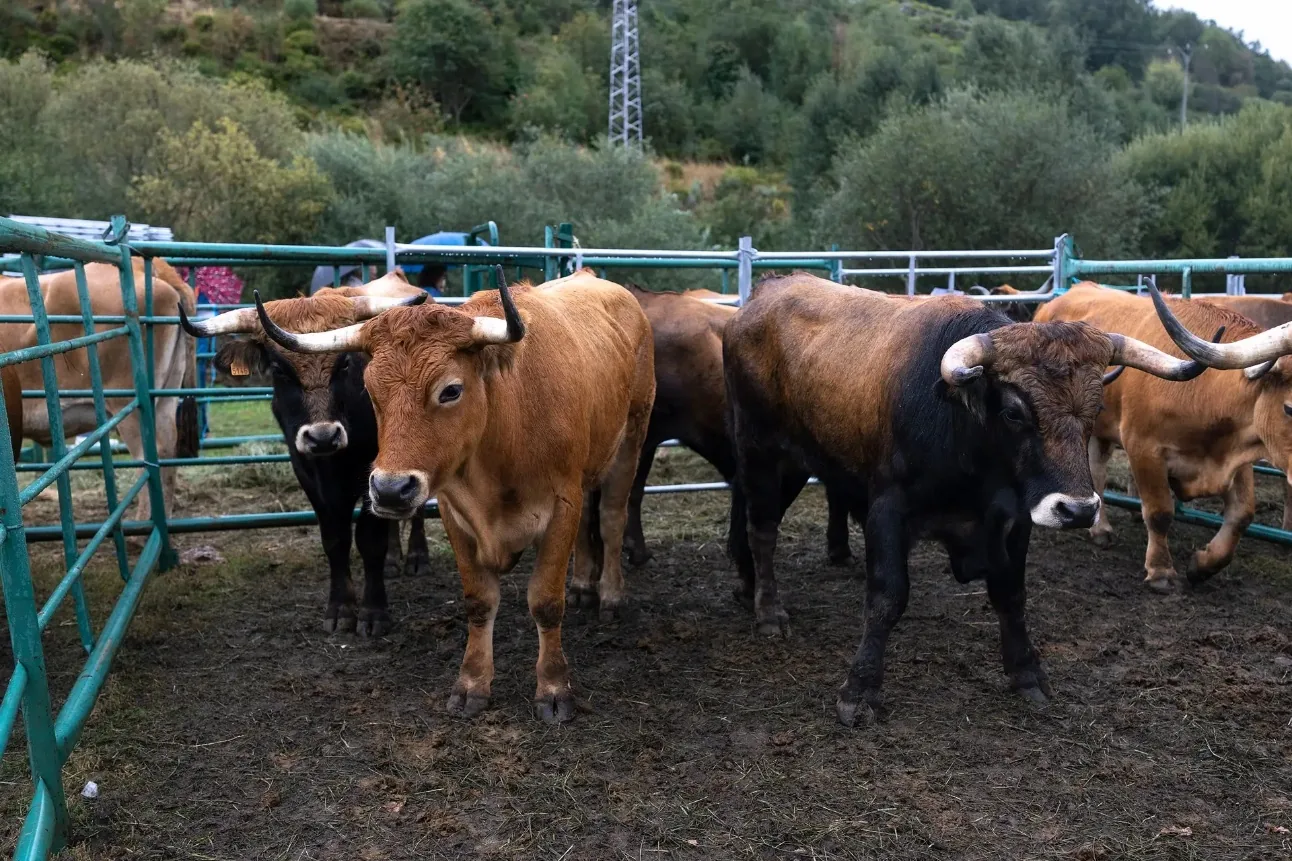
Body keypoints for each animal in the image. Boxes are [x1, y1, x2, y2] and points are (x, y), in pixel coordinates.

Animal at [179, 271, 431, 635]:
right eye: (279, 369)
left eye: (345, 364)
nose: (323, 437)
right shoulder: (307, 475)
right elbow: (335, 539)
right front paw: (341, 608)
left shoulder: (375, 471)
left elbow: (370, 540)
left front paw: (373, 612)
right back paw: (395, 559)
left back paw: (416, 558)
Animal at [253, 267, 656, 724]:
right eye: (370, 391)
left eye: (450, 390)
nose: (390, 489)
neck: (507, 423)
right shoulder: (454, 512)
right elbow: (479, 601)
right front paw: (472, 684)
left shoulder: (560, 507)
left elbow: (546, 601)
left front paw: (554, 689)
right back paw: (584, 585)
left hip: (631, 439)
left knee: (610, 518)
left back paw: (610, 594)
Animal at [723, 273, 1205, 726]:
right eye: (1014, 412)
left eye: (1096, 409)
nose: (1078, 510)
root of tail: (765, 293)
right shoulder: (887, 510)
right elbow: (887, 597)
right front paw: (859, 690)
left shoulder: (1016, 517)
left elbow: (1011, 594)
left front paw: (1026, 673)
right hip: (763, 450)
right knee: (762, 528)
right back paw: (768, 610)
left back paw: (746, 582)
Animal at [1033, 282, 1291, 589]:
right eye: (1290, 407)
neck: (1203, 391)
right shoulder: (1144, 448)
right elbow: (1159, 512)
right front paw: (1160, 571)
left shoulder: (1236, 457)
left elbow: (1242, 514)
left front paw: (1203, 565)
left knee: (1097, 471)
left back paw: (1102, 527)